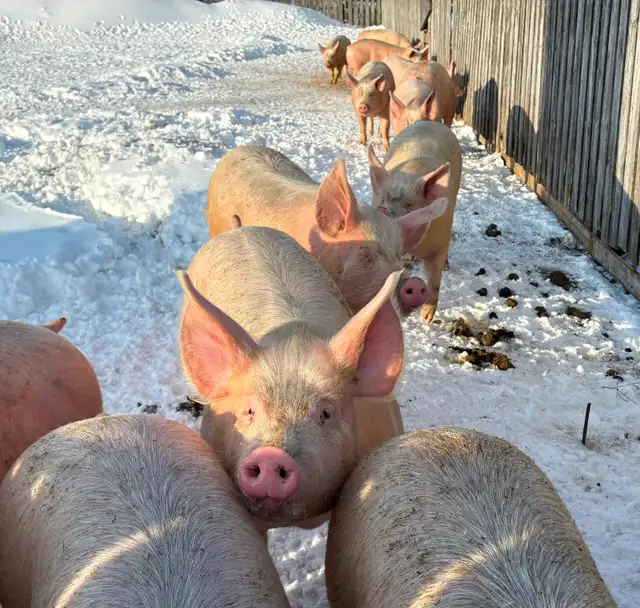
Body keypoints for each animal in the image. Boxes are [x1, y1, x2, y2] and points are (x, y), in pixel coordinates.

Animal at [368, 120, 462, 322]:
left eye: (409, 204)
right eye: (382, 200)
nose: (383, 211)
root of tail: (430, 121)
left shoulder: (440, 242)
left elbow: (434, 280)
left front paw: (426, 318)